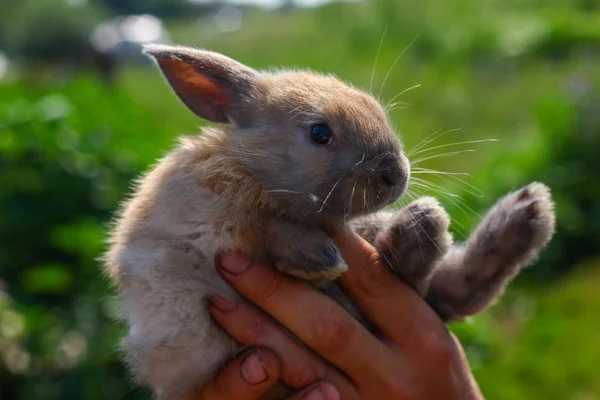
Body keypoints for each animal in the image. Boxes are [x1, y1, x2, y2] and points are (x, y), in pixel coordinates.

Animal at [104, 44, 556, 400]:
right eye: (320, 133)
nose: (395, 174)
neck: (253, 171)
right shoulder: (206, 229)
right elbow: (264, 226)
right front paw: (318, 257)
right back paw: (435, 226)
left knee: (445, 289)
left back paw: (518, 214)